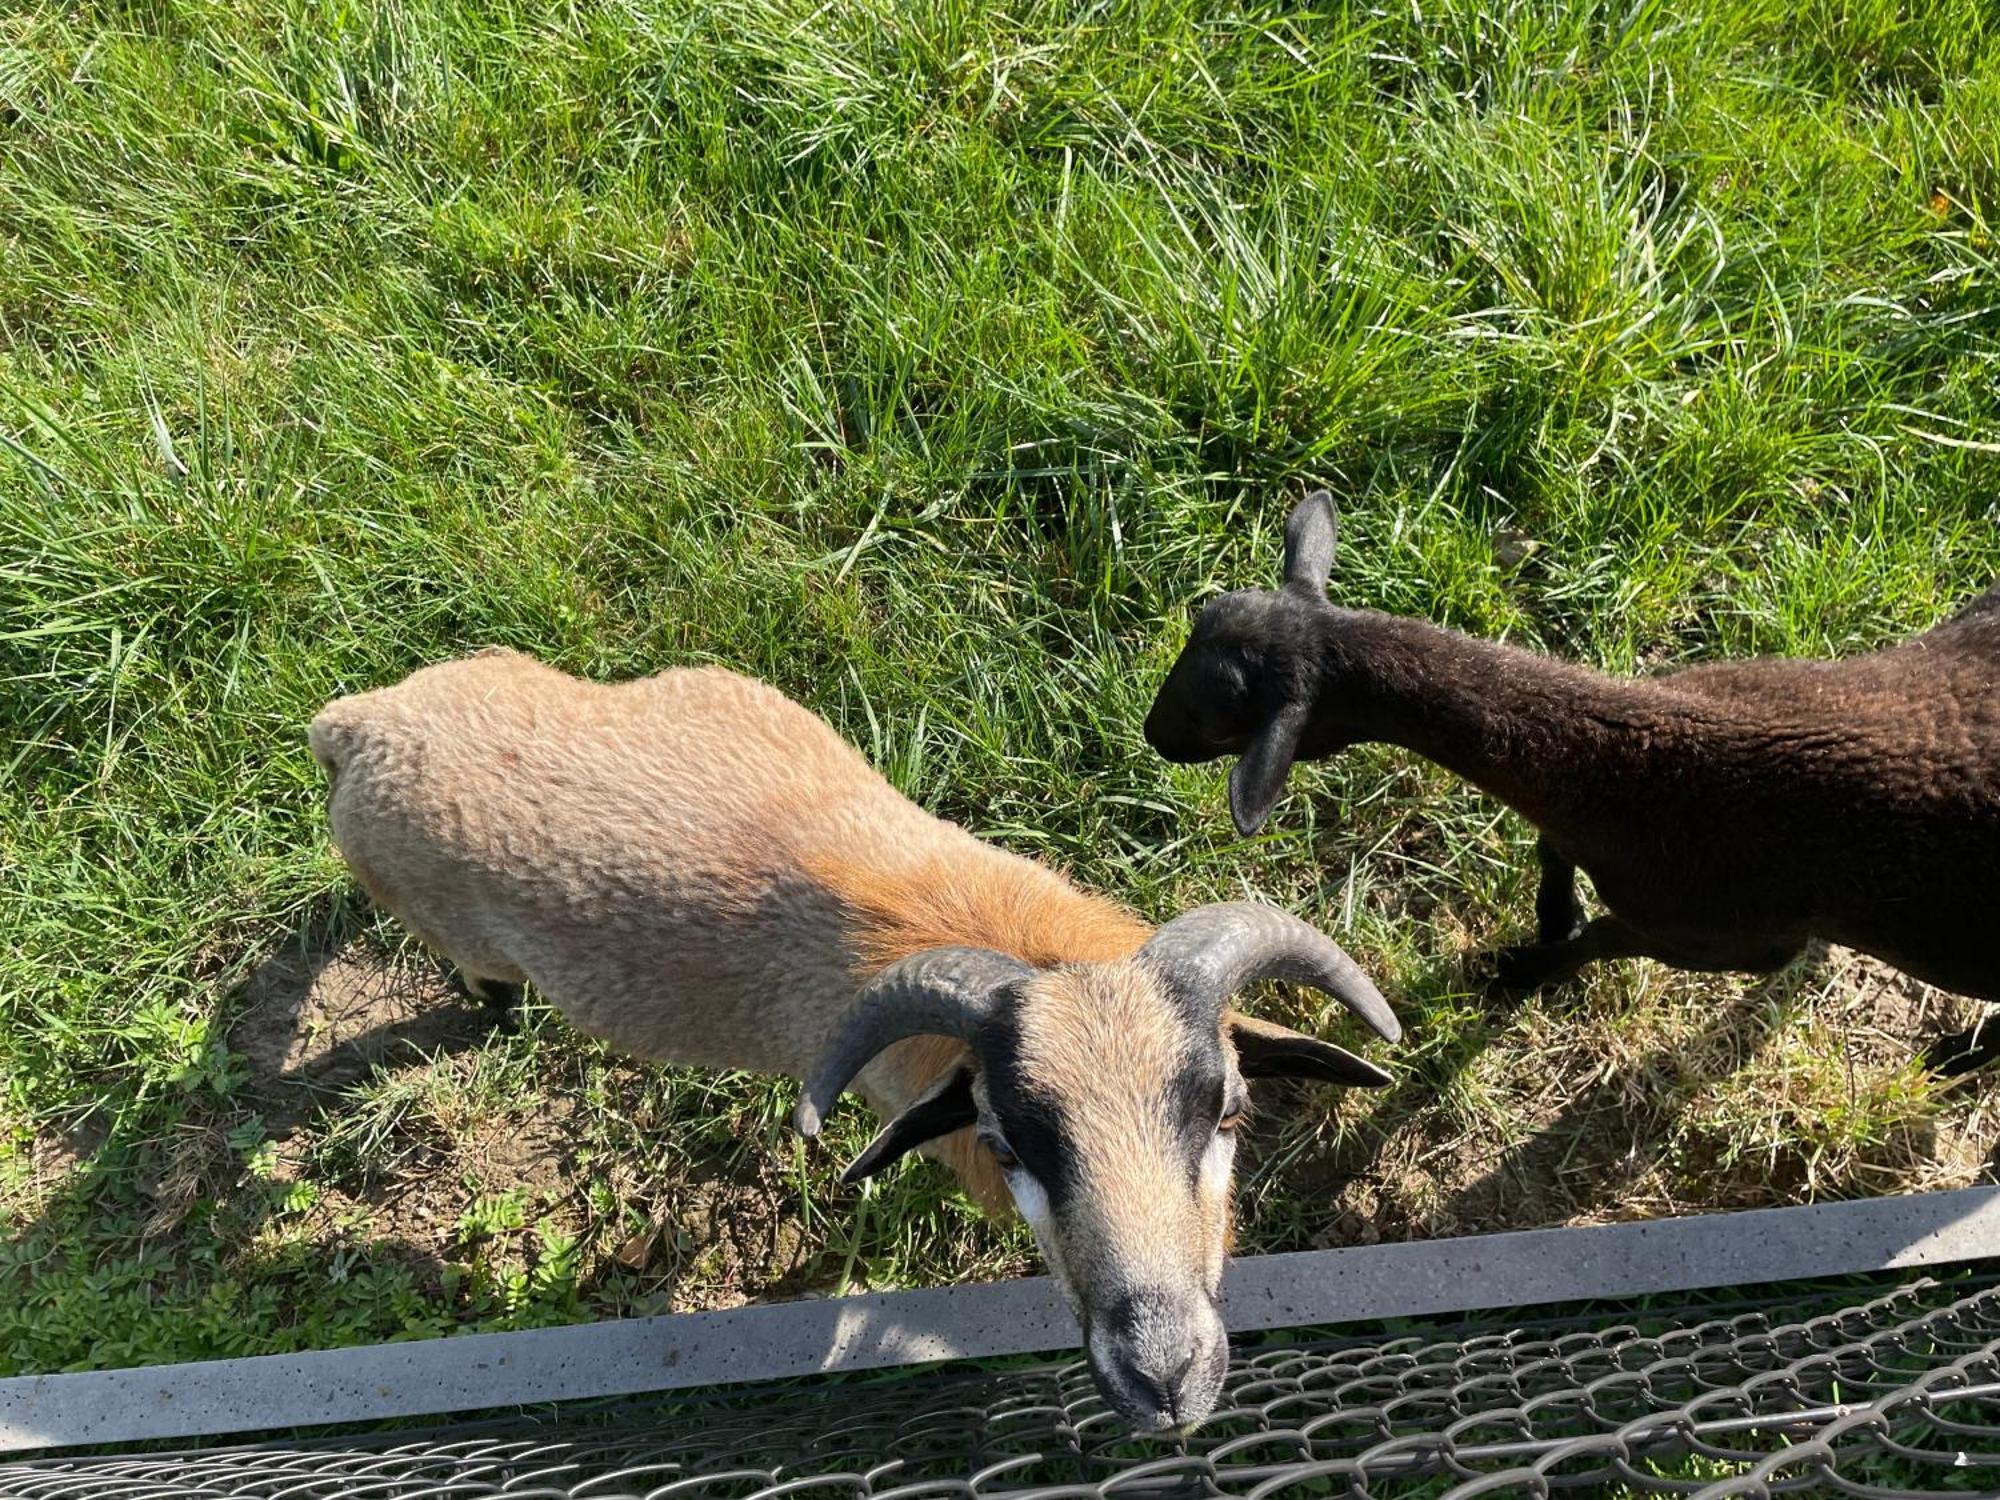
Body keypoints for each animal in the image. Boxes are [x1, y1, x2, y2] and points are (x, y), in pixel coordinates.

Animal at [1144, 494, 2000, 1072]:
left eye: (1217, 721)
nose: (1152, 734)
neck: (1636, 764)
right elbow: (1550, 850)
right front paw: (1552, 913)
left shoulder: (1720, 937)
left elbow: (1601, 941)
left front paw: (1519, 970)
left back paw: (1957, 1056)